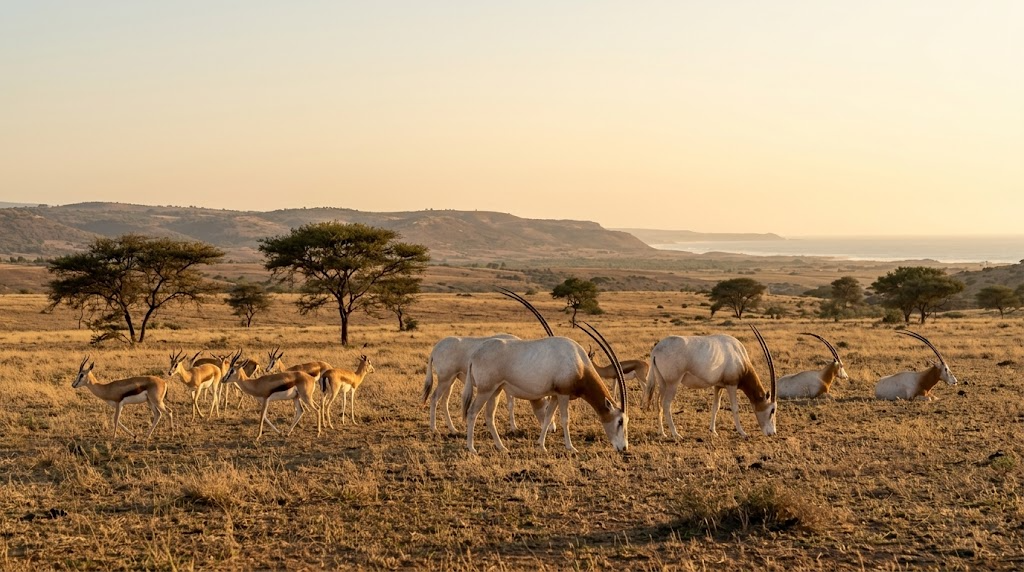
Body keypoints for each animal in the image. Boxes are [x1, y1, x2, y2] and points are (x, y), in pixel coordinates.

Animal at [461, 291, 628, 454]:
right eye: (619, 421)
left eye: (626, 421)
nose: (623, 448)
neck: (578, 362)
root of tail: (475, 354)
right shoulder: (563, 394)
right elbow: (565, 419)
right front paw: (570, 447)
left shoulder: (554, 395)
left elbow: (548, 417)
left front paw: (541, 445)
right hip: (485, 390)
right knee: (472, 412)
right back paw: (471, 448)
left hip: (496, 390)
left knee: (489, 416)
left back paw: (501, 447)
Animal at [646, 326, 777, 439]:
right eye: (772, 410)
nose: (772, 433)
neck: (739, 357)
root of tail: (656, 350)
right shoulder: (731, 385)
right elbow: (735, 408)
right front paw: (742, 432)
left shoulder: (718, 386)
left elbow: (716, 406)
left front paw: (713, 430)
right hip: (673, 383)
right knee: (666, 404)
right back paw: (675, 434)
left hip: (663, 383)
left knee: (658, 402)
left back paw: (662, 432)